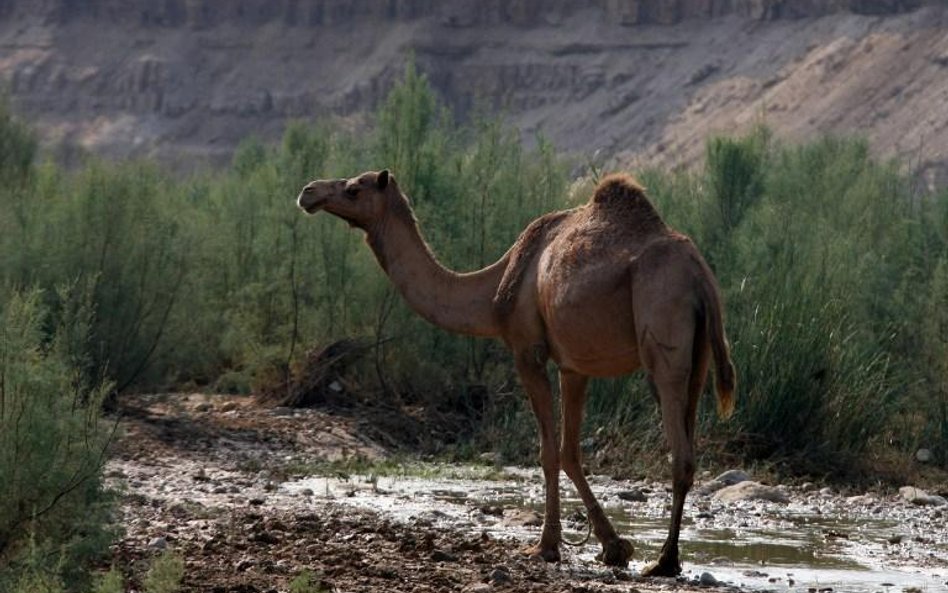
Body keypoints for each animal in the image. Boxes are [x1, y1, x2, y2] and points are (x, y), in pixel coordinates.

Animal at [296, 169, 732, 576]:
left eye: (354, 188)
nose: (308, 192)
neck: (494, 292)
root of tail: (700, 277)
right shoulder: (573, 364)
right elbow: (570, 452)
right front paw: (614, 547)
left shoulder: (527, 350)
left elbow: (547, 452)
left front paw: (546, 547)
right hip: (699, 357)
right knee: (688, 435)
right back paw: (665, 557)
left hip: (662, 332)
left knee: (680, 451)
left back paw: (665, 561)